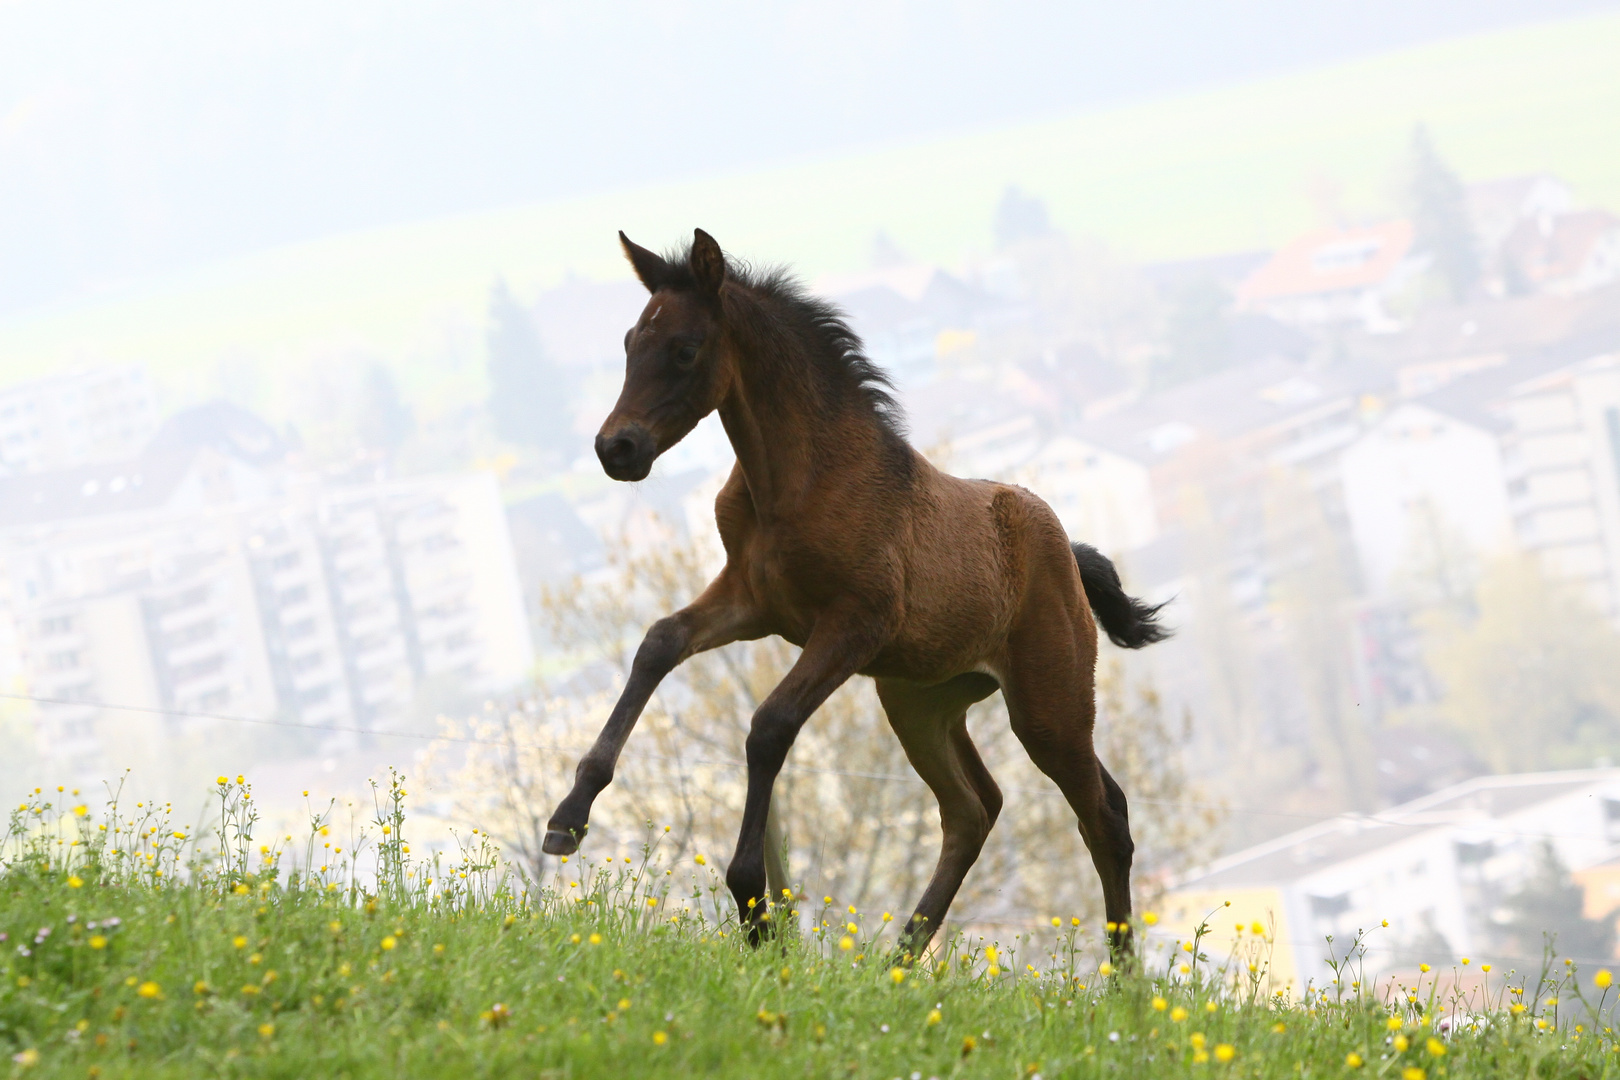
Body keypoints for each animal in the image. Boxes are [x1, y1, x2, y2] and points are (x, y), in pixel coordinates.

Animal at [544, 228, 1166, 952]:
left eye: (685, 348)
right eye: (627, 343)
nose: (616, 448)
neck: (804, 479)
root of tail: (1067, 553)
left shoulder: (853, 625)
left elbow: (769, 726)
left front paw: (754, 905)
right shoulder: (753, 600)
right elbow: (658, 643)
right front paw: (568, 817)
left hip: (1048, 706)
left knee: (1104, 815)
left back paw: (1121, 972)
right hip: (919, 702)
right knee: (973, 810)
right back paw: (896, 960)